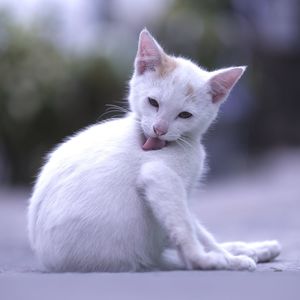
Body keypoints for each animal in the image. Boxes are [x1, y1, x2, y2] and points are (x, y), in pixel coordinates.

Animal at [27, 28, 280, 272]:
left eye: (185, 115)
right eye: (153, 102)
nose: (159, 129)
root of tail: (47, 259)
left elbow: (198, 229)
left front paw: (227, 254)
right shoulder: (159, 177)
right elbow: (184, 227)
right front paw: (206, 260)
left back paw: (254, 249)